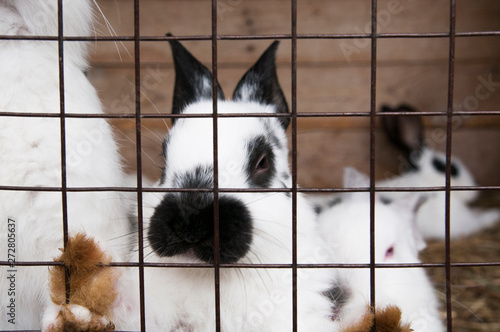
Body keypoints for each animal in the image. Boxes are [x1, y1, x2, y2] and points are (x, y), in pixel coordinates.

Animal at [376, 104, 498, 239]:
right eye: (444, 166)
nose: (476, 184)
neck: (426, 182)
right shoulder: (461, 221)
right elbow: (479, 221)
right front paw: (494, 214)